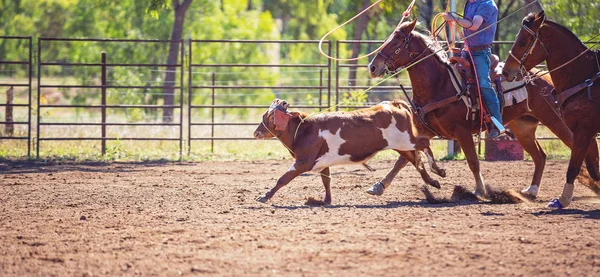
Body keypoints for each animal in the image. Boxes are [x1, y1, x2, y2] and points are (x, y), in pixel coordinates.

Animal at [251, 98, 442, 204]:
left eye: (268, 116)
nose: (256, 133)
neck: (303, 130)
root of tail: (394, 105)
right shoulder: (322, 162)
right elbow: (326, 180)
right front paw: (326, 200)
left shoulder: (303, 162)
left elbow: (283, 178)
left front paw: (264, 196)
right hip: (401, 145)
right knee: (415, 160)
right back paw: (433, 181)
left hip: (406, 141)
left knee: (424, 143)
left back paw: (437, 169)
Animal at [366, 20, 596, 198]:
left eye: (397, 41)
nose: (373, 67)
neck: (441, 83)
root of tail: (545, 76)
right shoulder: (427, 129)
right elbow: (402, 160)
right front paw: (379, 186)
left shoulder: (462, 131)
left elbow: (473, 161)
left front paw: (480, 189)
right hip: (523, 128)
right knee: (540, 156)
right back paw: (531, 190)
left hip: (556, 121)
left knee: (582, 147)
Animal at [502, 10, 600, 208]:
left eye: (522, 41)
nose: (506, 72)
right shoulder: (585, 132)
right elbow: (591, 166)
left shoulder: (583, 130)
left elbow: (574, 167)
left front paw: (562, 200)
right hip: (525, 129)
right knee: (540, 156)